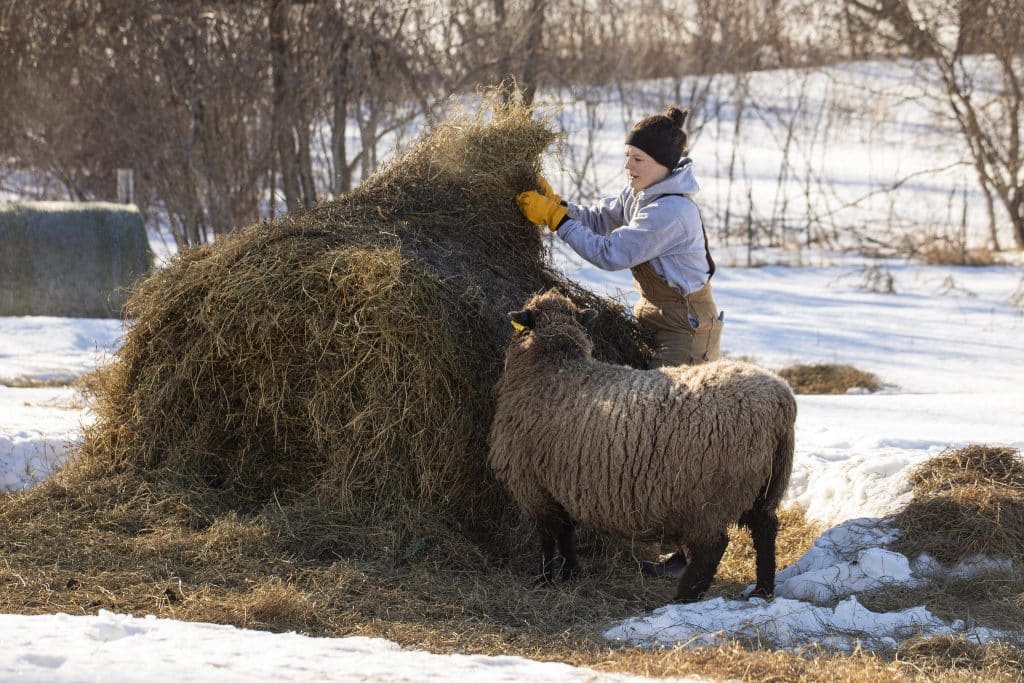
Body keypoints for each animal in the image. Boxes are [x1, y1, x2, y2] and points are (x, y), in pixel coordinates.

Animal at [488, 289, 796, 603]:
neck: (553, 369)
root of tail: (780, 401)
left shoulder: (533, 483)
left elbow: (549, 536)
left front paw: (545, 579)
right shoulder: (561, 484)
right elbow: (567, 533)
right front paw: (571, 572)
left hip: (710, 496)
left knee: (713, 547)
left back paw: (684, 597)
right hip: (766, 485)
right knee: (765, 530)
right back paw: (762, 590)